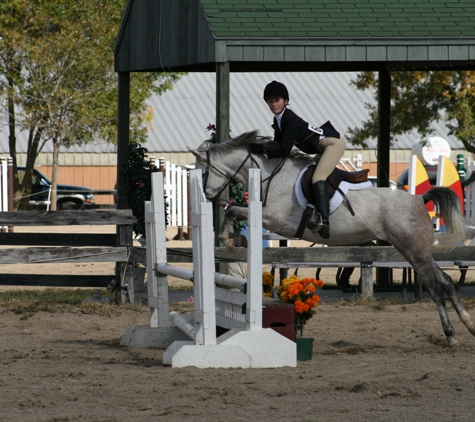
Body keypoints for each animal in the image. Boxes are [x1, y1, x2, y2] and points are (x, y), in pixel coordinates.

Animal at [192, 132, 475, 346]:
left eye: (202, 173)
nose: (207, 197)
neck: (267, 173)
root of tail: (419, 198)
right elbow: (233, 209)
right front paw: (232, 239)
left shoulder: (274, 220)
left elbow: (232, 209)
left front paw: (229, 239)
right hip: (418, 251)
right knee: (446, 281)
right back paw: (467, 326)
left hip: (413, 251)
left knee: (436, 287)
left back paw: (451, 335)